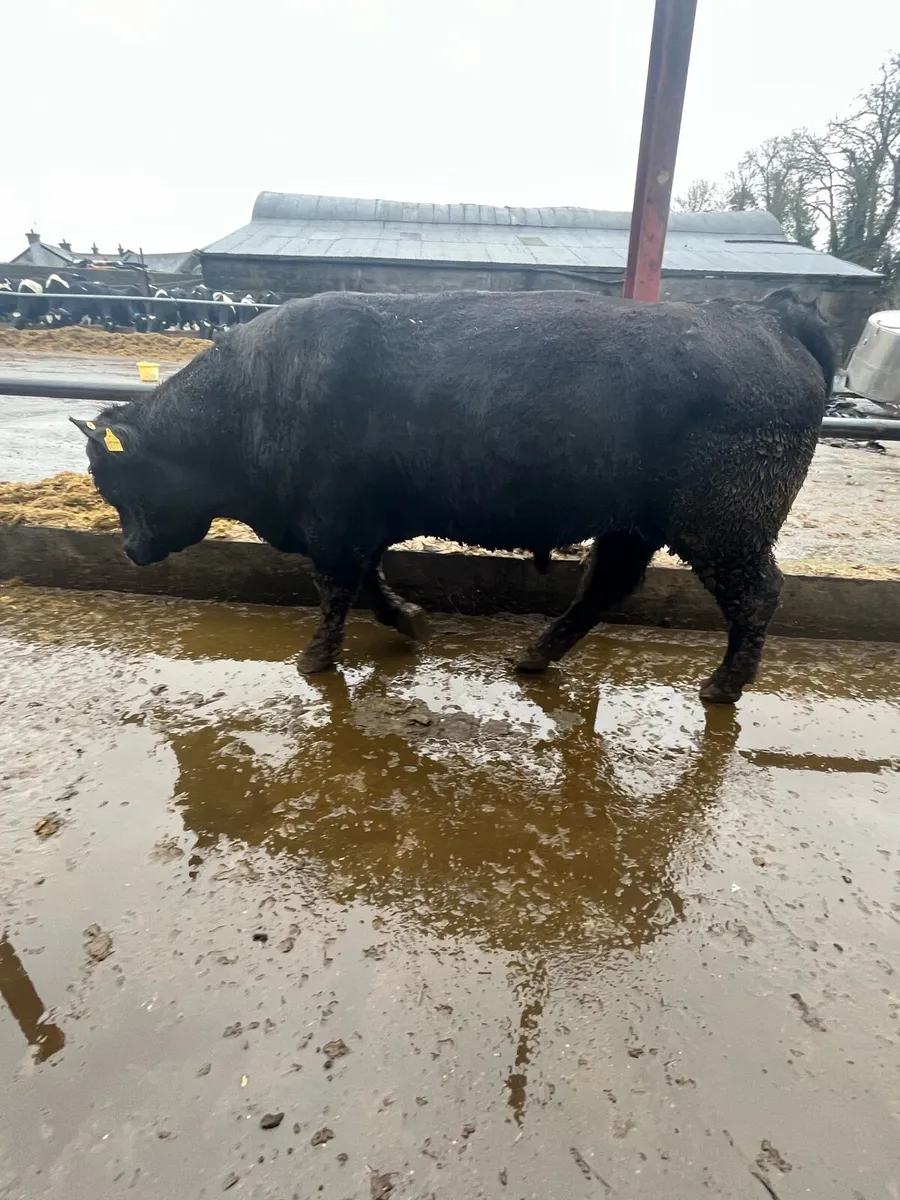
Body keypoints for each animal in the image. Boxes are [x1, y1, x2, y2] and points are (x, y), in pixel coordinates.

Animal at [70, 288, 833, 704]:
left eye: (113, 481)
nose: (130, 552)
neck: (251, 396)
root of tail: (767, 318)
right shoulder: (358, 527)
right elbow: (369, 584)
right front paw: (410, 621)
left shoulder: (334, 529)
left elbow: (336, 590)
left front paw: (316, 659)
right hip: (635, 525)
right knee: (605, 588)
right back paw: (535, 655)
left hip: (724, 529)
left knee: (756, 595)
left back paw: (724, 686)